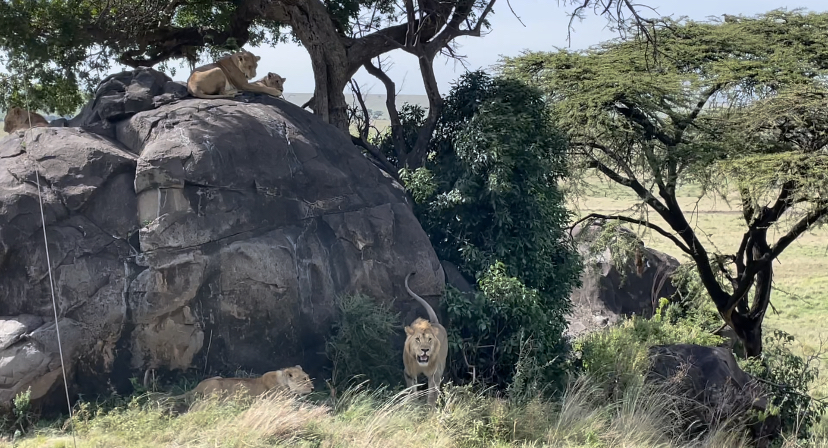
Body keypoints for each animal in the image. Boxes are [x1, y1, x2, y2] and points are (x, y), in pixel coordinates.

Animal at [402, 272, 446, 408]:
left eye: (430, 339)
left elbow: (431, 394)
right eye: (417, 339)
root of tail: (434, 323)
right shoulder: (408, 373)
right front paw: (413, 405)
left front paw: (430, 409)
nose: (425, 350)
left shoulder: (434, 374)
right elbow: (412, 391)